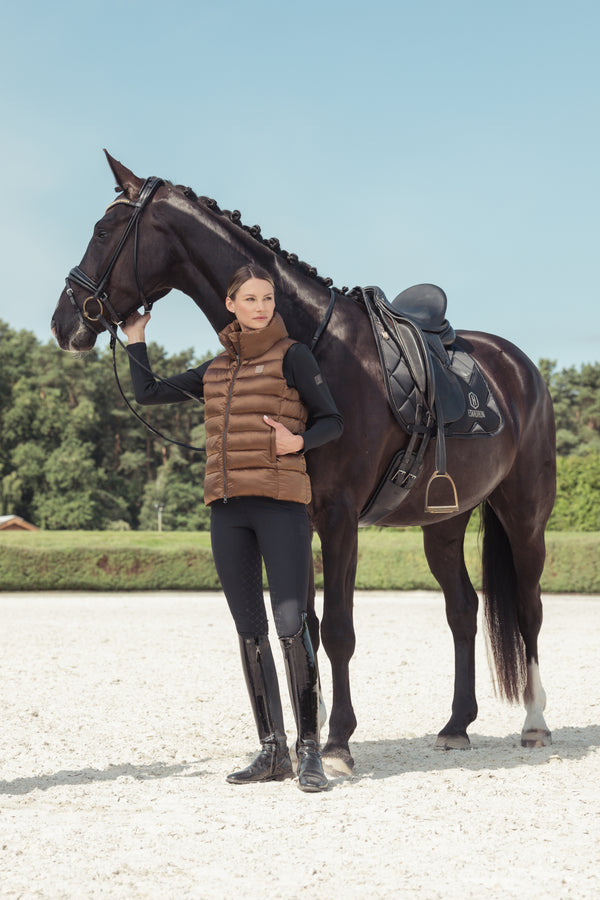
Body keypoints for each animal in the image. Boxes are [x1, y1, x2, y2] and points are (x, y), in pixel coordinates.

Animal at [52, 151, 556, 768]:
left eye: (102, 232)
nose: (64, 323)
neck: (318, 347)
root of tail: (520, 367)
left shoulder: (339, 518)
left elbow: (337, 629)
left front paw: (336, 741)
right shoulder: (299, 518)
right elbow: (305, 625)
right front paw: (303, 739)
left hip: (524, 515)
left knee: (529, 608)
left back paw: (535, 723)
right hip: (443, 522)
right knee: (462, 610)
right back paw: (456, 724)